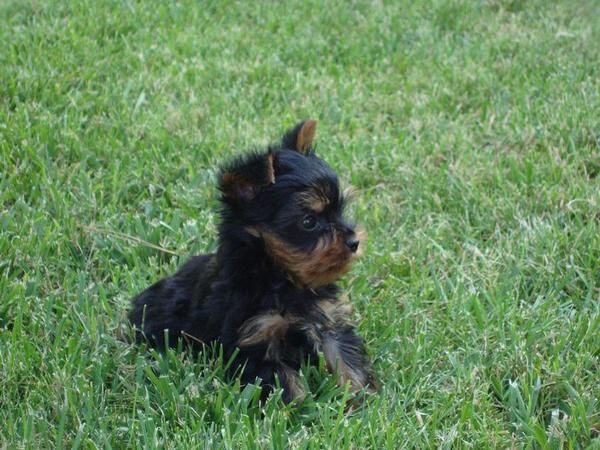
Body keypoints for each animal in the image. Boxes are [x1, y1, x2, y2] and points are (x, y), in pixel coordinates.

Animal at [129, 118, 378, 400]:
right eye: (309, 222)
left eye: (339, 210)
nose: (354, 242)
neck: (282, 277)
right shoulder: (254, 338)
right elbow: (283, 382)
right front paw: (300, 408)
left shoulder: (330, 321)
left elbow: (346, 360)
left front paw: (361, 399)